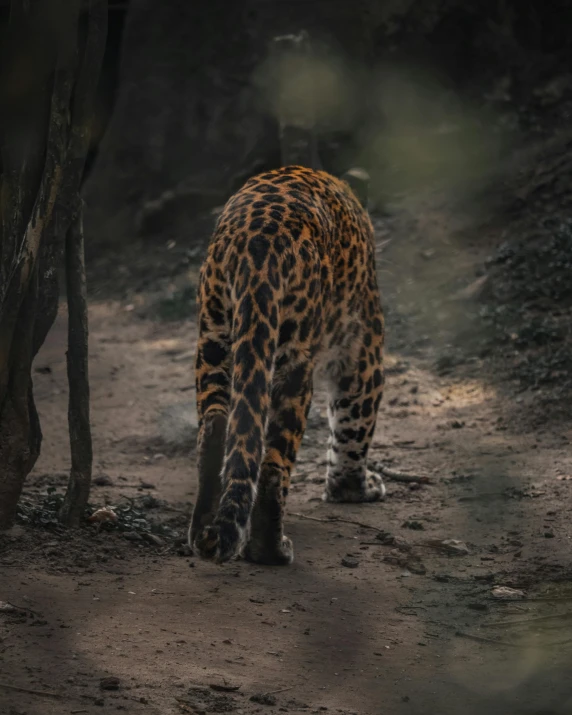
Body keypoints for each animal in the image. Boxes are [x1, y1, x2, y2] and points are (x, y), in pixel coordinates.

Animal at [190, 164, 386, 564]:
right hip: (293, 361)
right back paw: (272, 550)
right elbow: (353, 429)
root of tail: (258, 239)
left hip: (214, 337)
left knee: (215, 425)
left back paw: (201, 531)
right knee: (273, 462)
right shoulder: (363, 352)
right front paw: (353, 489)